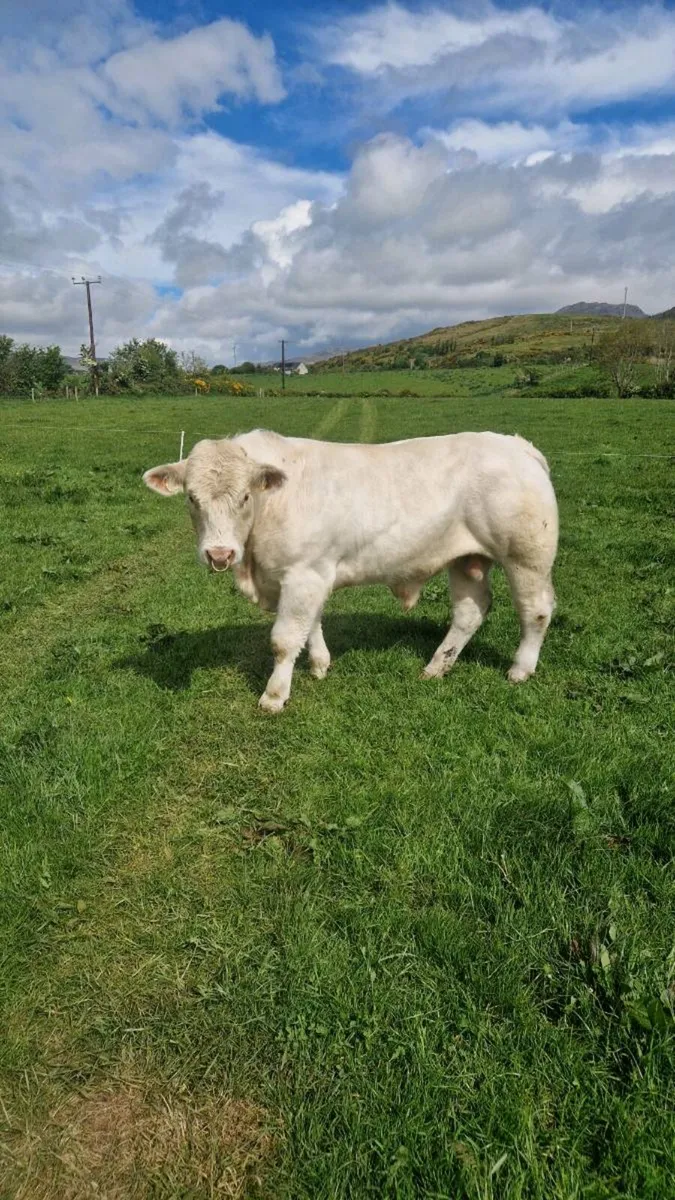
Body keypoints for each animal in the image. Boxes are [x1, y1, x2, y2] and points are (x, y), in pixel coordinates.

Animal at [143, 429, 558, 713]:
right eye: (192, 498)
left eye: (245, 496)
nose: (219, 553)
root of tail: (517, 445)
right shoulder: (312, 575)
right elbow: (310, 624)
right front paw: (319, 665)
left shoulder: (303, 574)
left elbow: (284, 639)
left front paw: (274, 695)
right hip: (467, 560)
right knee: (470, 611)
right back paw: (437, 666)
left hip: (527, 556)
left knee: (536, 611)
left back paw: (520, 669)